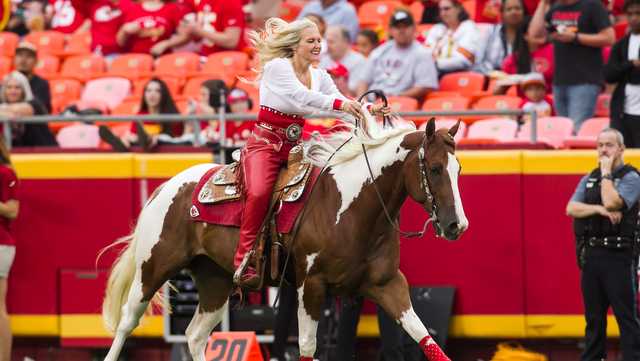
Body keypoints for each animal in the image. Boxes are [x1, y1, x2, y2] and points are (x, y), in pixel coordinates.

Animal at [101, 113, 470, 360]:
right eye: (435, 168)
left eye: (459, 169)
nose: (457, 225)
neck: (351, 208)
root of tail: (167, 186)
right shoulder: (311, 286)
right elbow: (307, 346)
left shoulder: (388, 284)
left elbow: (423, 336)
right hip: (153, 268)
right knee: (126, 322)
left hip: (215, 280)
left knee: (194, 336)